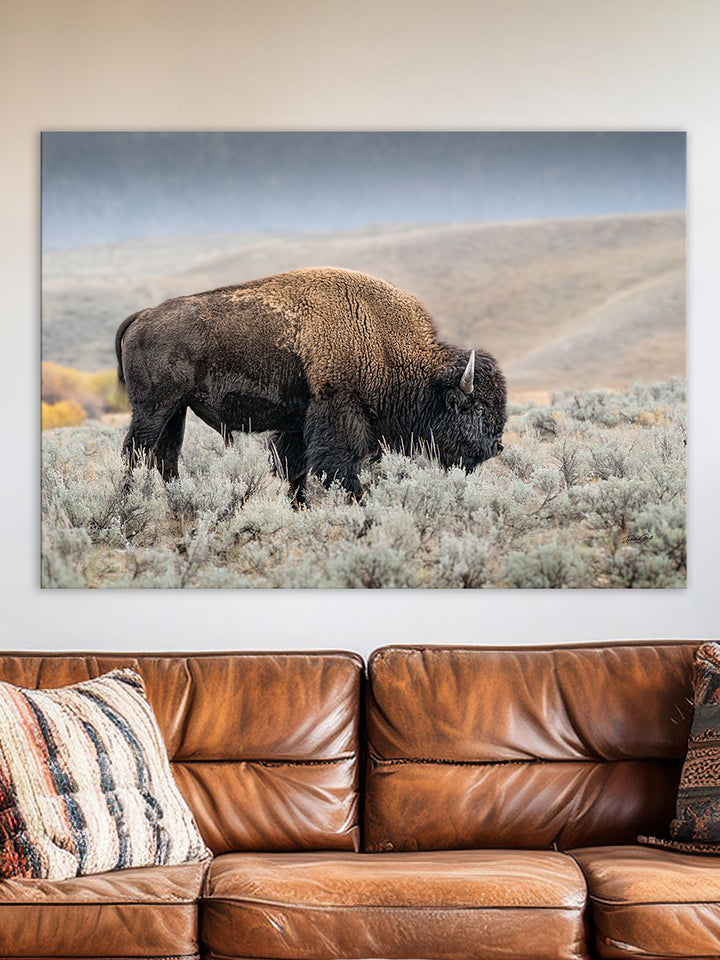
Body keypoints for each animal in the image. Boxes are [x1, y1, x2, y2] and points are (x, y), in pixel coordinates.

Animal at [116, 267, 507, 503]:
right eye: (477, 406)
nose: (497, 446)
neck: (385, 342)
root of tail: (144, 315)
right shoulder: (339, 410)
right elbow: (339, 466)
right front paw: (355, 503)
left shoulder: (299, 425)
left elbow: (293, 467)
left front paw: (297, 505)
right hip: (153, 408)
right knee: (136, 451)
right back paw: (129, 499)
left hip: (176, 410)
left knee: (166, 456)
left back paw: (175, 500)